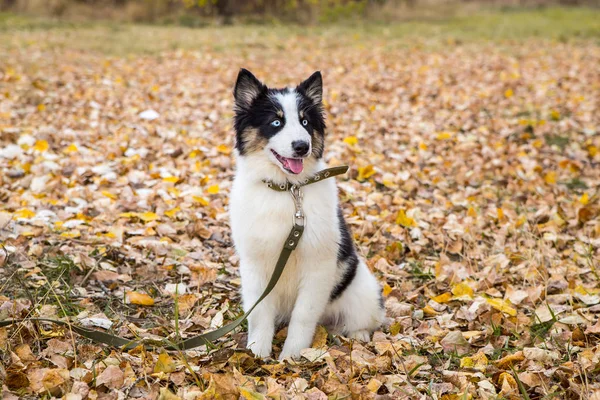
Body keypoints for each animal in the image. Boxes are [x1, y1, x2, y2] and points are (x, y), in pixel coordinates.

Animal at [230, 69, 384, 360]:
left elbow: (303, 316)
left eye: (304, 121)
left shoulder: (318, 266)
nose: (302, 146)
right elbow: (259, 313)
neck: (287, 191)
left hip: (362, 291)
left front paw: (292, 356)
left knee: (366, 318)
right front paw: (258, 353)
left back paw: (358, 336)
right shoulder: (255, 264)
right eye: (276, 122)